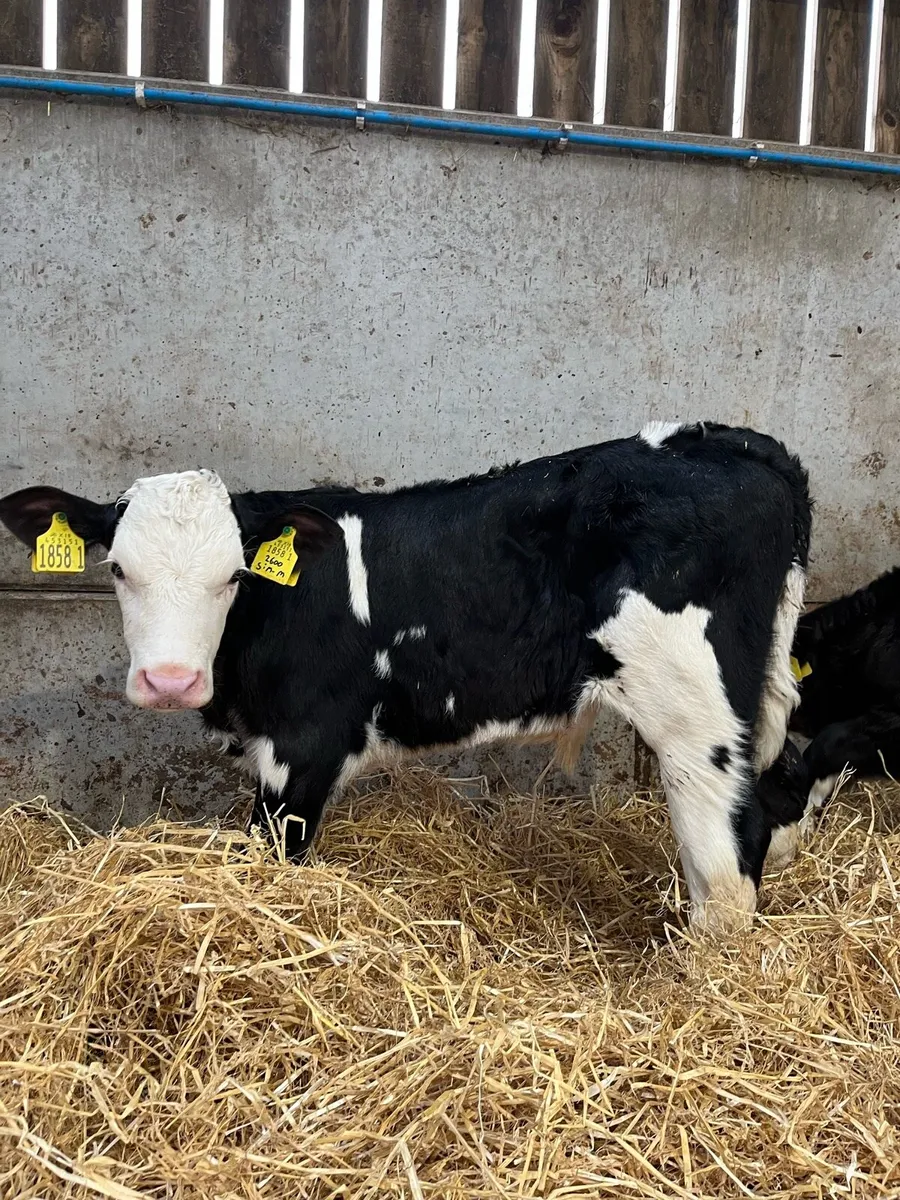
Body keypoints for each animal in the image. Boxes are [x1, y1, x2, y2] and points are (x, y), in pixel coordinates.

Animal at [0, 421, 812, 934]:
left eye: (233, 574)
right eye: (116, 568)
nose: (169, 679)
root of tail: (736, 442)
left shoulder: (304, 745)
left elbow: (277, 855)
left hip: (697, 714)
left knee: (729, 867)